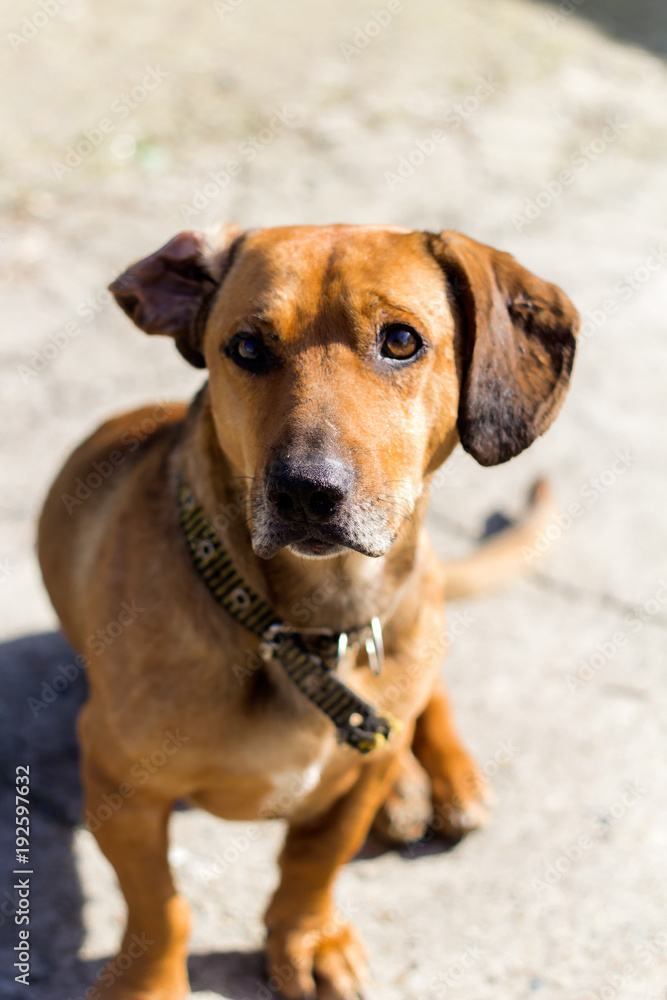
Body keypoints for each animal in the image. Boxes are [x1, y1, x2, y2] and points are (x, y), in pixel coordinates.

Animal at [37, 227, 580, 1000]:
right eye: (246, 346)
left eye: (401, 340)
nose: (306, 492)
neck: (299, 629)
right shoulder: (120, 786)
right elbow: (161, 908)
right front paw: (149, 981)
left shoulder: (350, 788)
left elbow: (315, 860)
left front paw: (306, 937)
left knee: (426, 700)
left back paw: (440, 776)